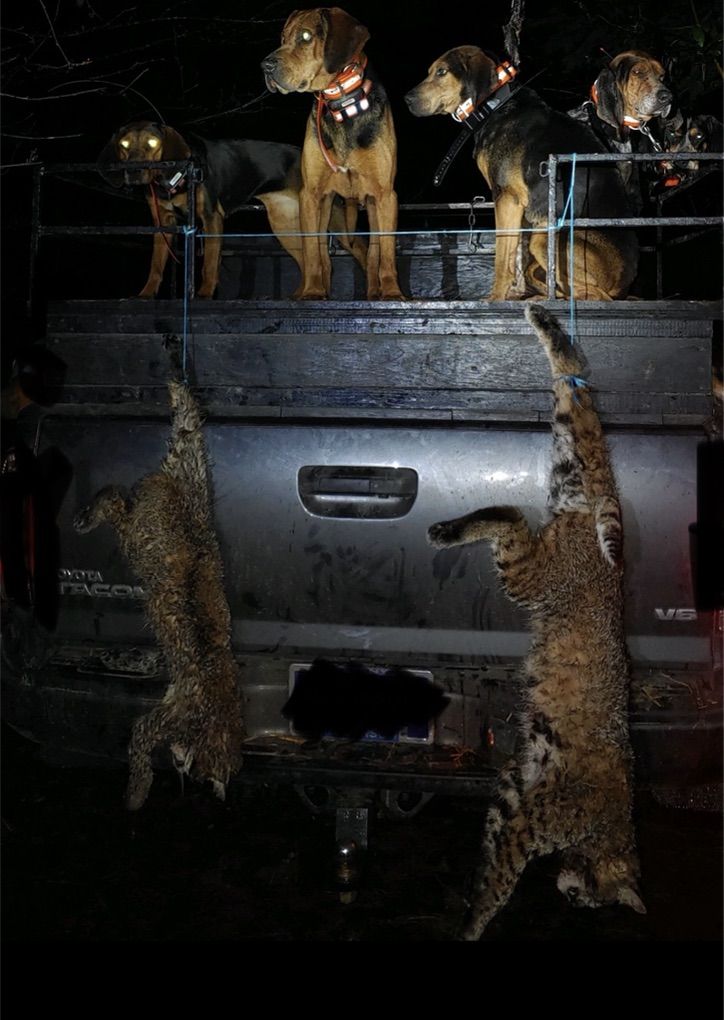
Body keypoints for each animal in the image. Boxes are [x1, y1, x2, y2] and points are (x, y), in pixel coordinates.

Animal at [98, 121, 366, 298]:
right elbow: (155, 266)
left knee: (357, 253)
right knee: (311, 261)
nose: (134, 171)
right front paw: (146, 294)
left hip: (331, 224)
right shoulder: (163, 223)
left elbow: (208, 264)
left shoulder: (211, 217)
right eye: (124, 143)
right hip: (287, 224)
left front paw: (205, 294)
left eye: (152, 142)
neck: (170, 182)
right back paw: (304, 295)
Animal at [261, 7, 404, 300]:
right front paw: (313, 292)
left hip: (372, 204)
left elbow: (385, 251)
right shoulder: (312, 194)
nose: (265, 66)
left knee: (372, 252)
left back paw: (375, 291)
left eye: (305, 37)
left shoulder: (385, 194)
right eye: (283, 37)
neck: (342, 105)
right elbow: (313, 253)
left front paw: (393, 293)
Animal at [405, 46, 638, 301]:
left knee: (597, 296)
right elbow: (516, 257)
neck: (493, 106)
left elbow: (502, 257)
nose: (407, 99)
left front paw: (495, 298)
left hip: (546, 240)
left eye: (441, 71)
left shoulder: (507, 197)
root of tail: (625, 283)